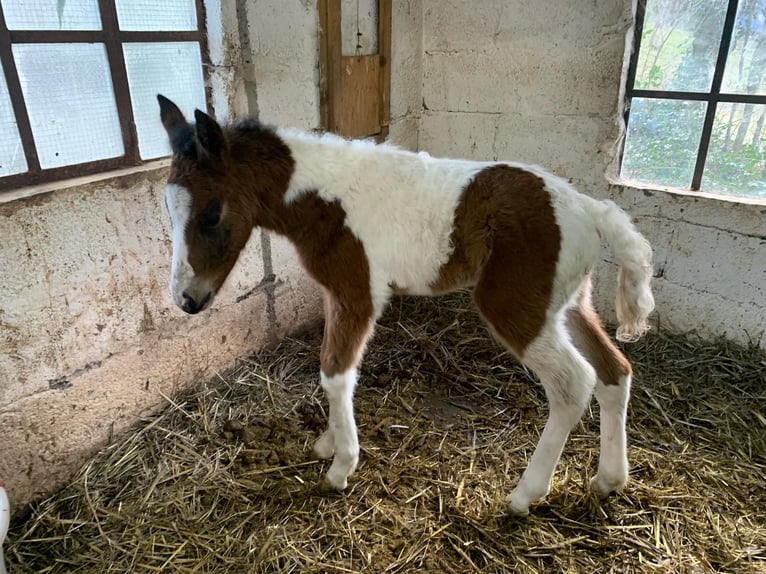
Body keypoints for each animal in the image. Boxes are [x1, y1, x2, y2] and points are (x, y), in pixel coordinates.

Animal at [156, 95, 656, 516]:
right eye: (169, 211)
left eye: (210, 215)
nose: (187, 300)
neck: (325, 199)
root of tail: (589, 208)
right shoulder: (337, 296)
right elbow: (336, 366)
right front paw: (329, 443)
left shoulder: (357, 292)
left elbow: (335, 373)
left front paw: (341, 466)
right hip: (568, 304)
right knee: (614, 372)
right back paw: (610, 479)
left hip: (516, 308)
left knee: (573, 383)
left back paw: (524, 495)